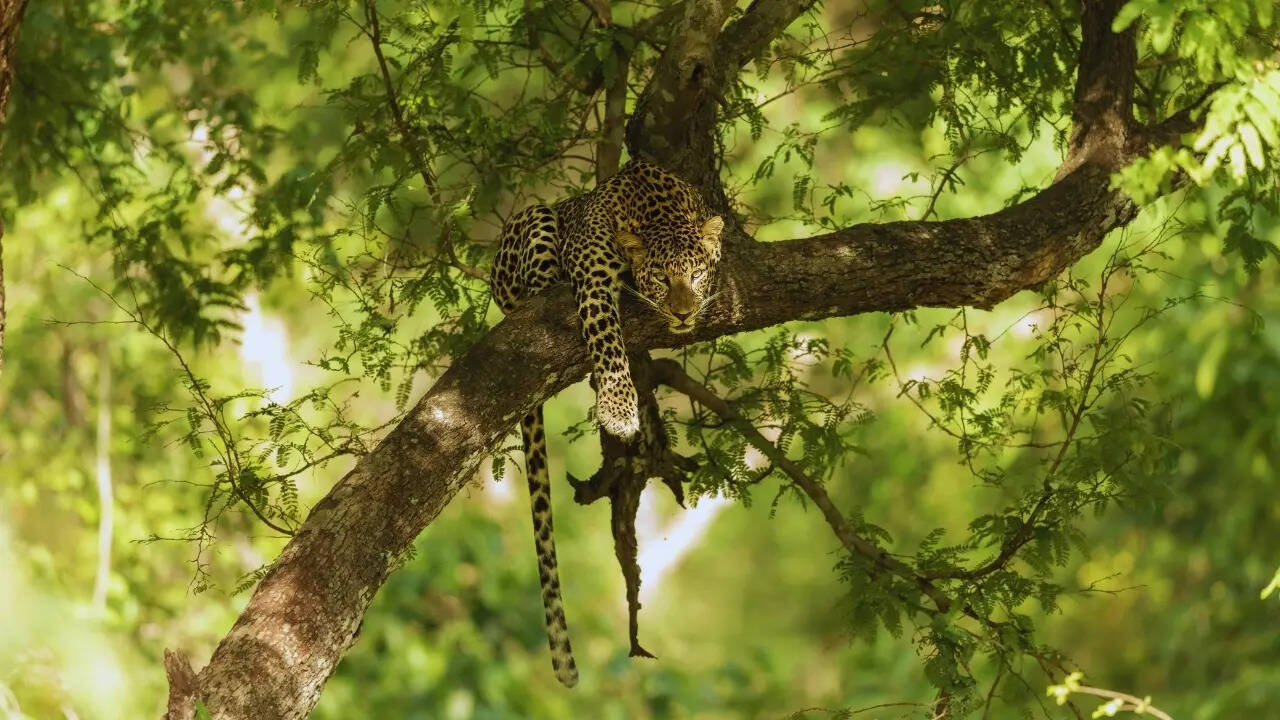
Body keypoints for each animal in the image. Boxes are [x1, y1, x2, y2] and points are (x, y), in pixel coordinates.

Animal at [489, 160, 724, 687]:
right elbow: (607, 338)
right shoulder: (594, 275)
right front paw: (618, 410)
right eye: (661, 278)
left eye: (696, 274)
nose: (682, 313)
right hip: (534, 225)